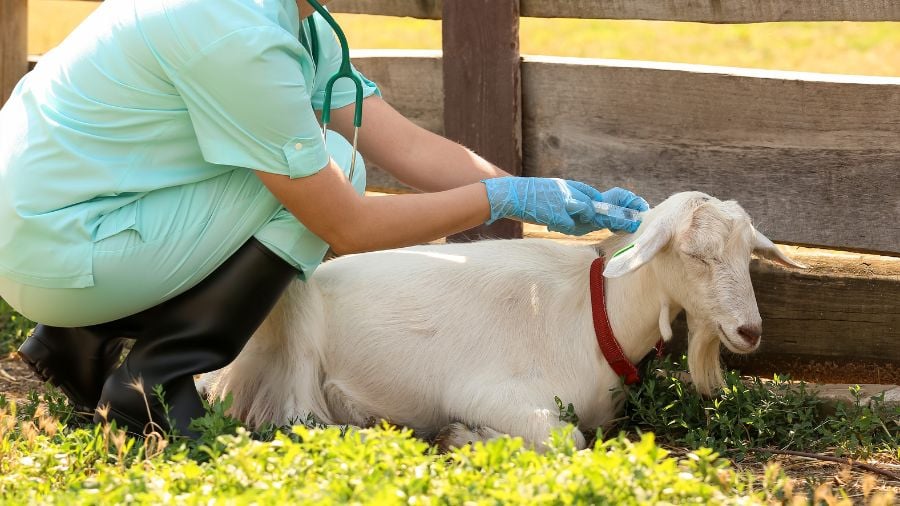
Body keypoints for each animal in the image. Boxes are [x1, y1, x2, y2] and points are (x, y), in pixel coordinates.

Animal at [200, 191, 804, 450]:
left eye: (748, 254)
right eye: (696, 254)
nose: (749, 331)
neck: (593, 317)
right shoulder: (492, 392)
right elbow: (568, 438)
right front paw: (465, 434)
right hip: (295, 316)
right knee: (296, 419)